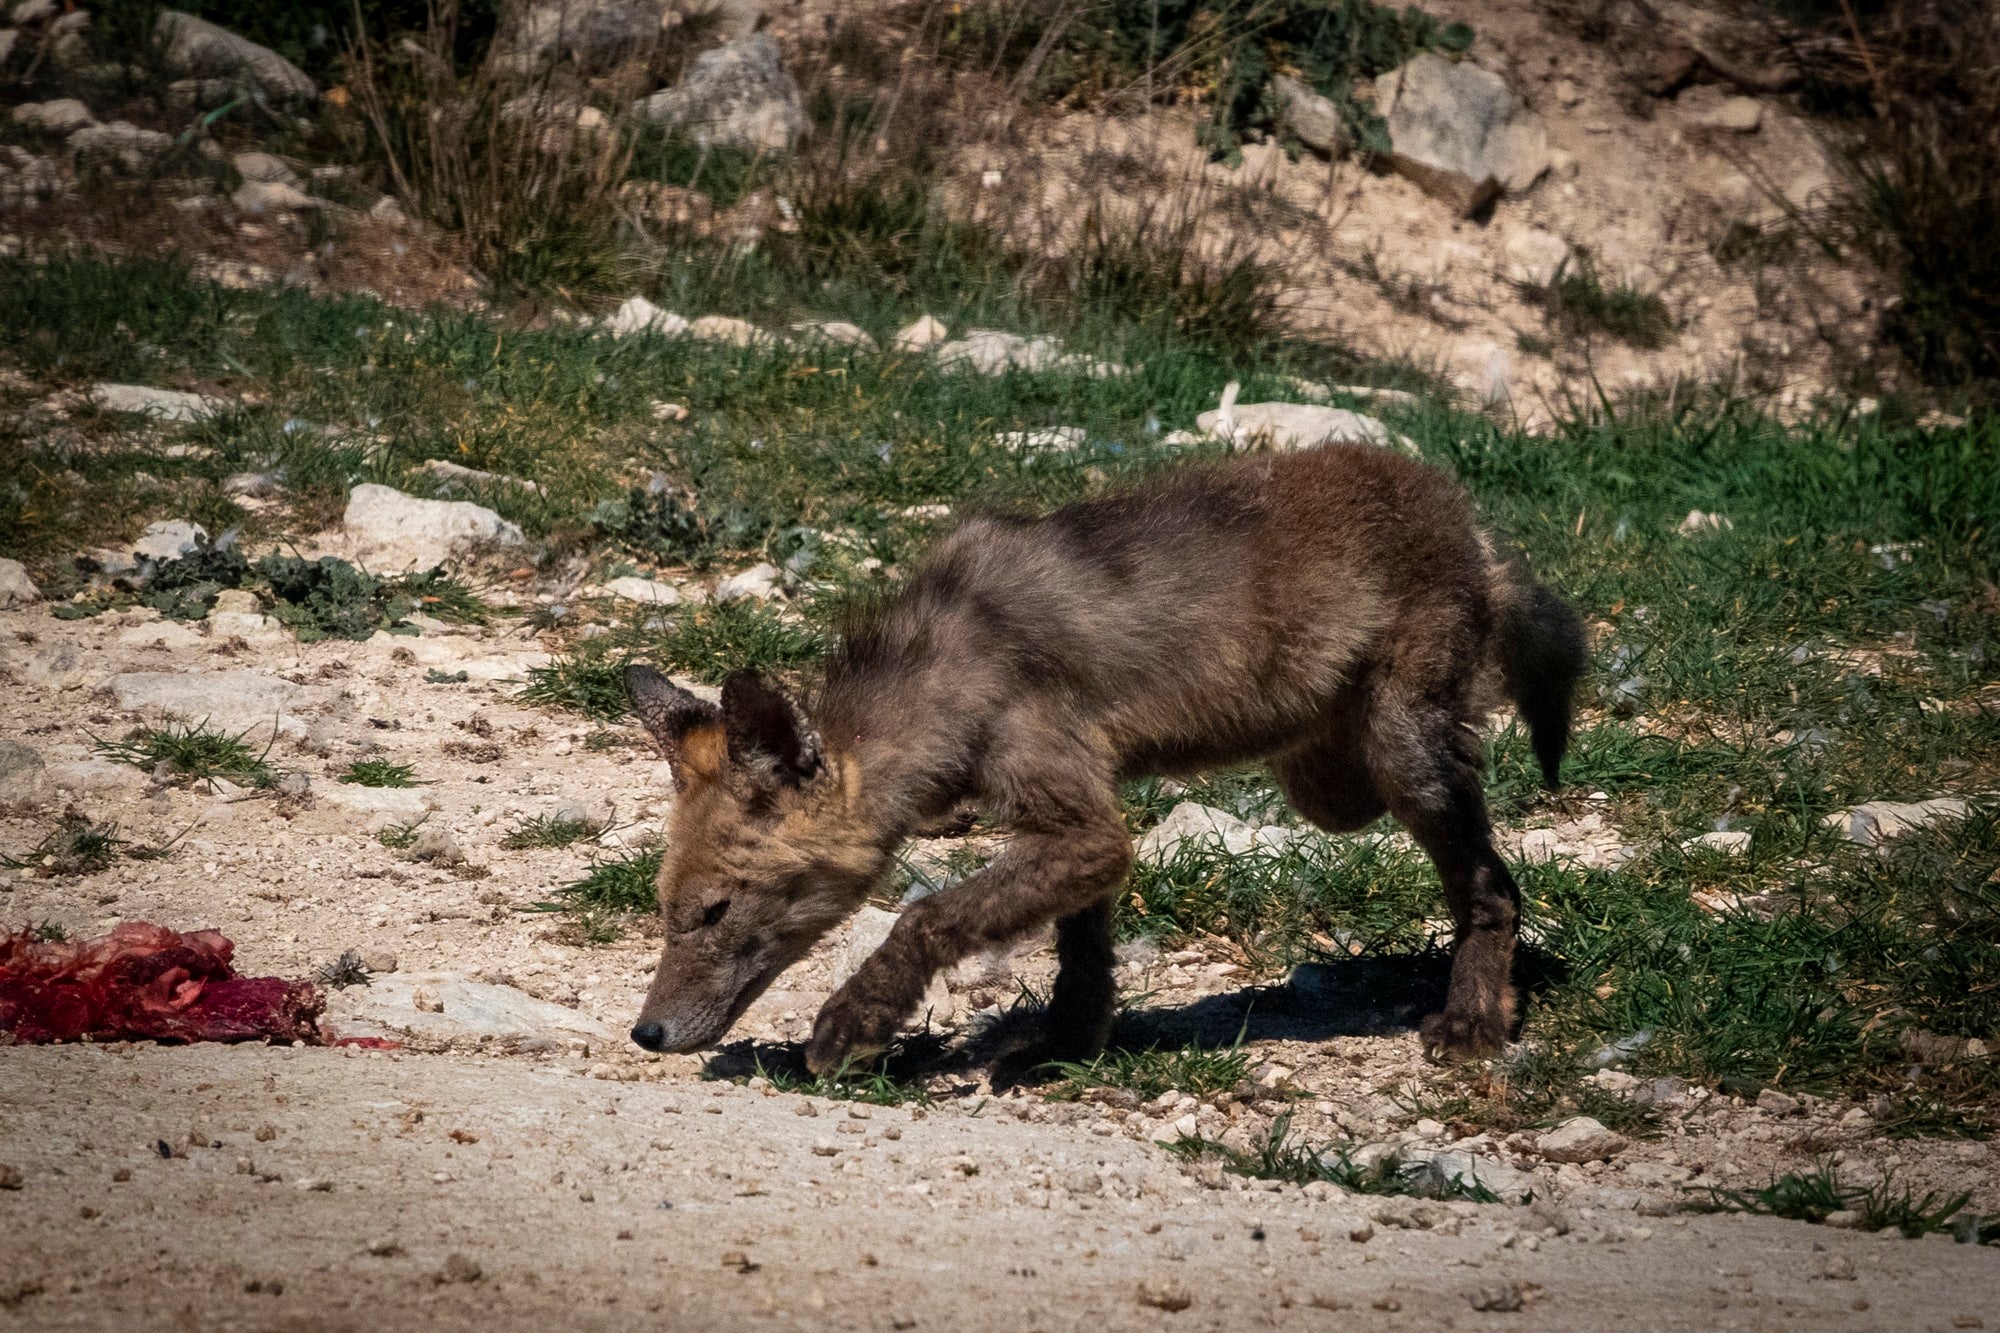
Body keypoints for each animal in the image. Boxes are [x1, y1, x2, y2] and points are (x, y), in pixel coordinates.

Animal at [616, 444, 1584, 1072]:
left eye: (714, 912)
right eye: (665, 910)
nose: (646, 1033)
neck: (952, 675)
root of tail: (1468, 517)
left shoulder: (1081, 824)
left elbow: (925, 917)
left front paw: (855, 1022)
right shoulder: (1081, 824)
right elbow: (1082, 954)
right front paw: (1069, 1046)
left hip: (1398, 758)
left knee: (1494, 884)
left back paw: (1473, 1019)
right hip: (1327, 776)